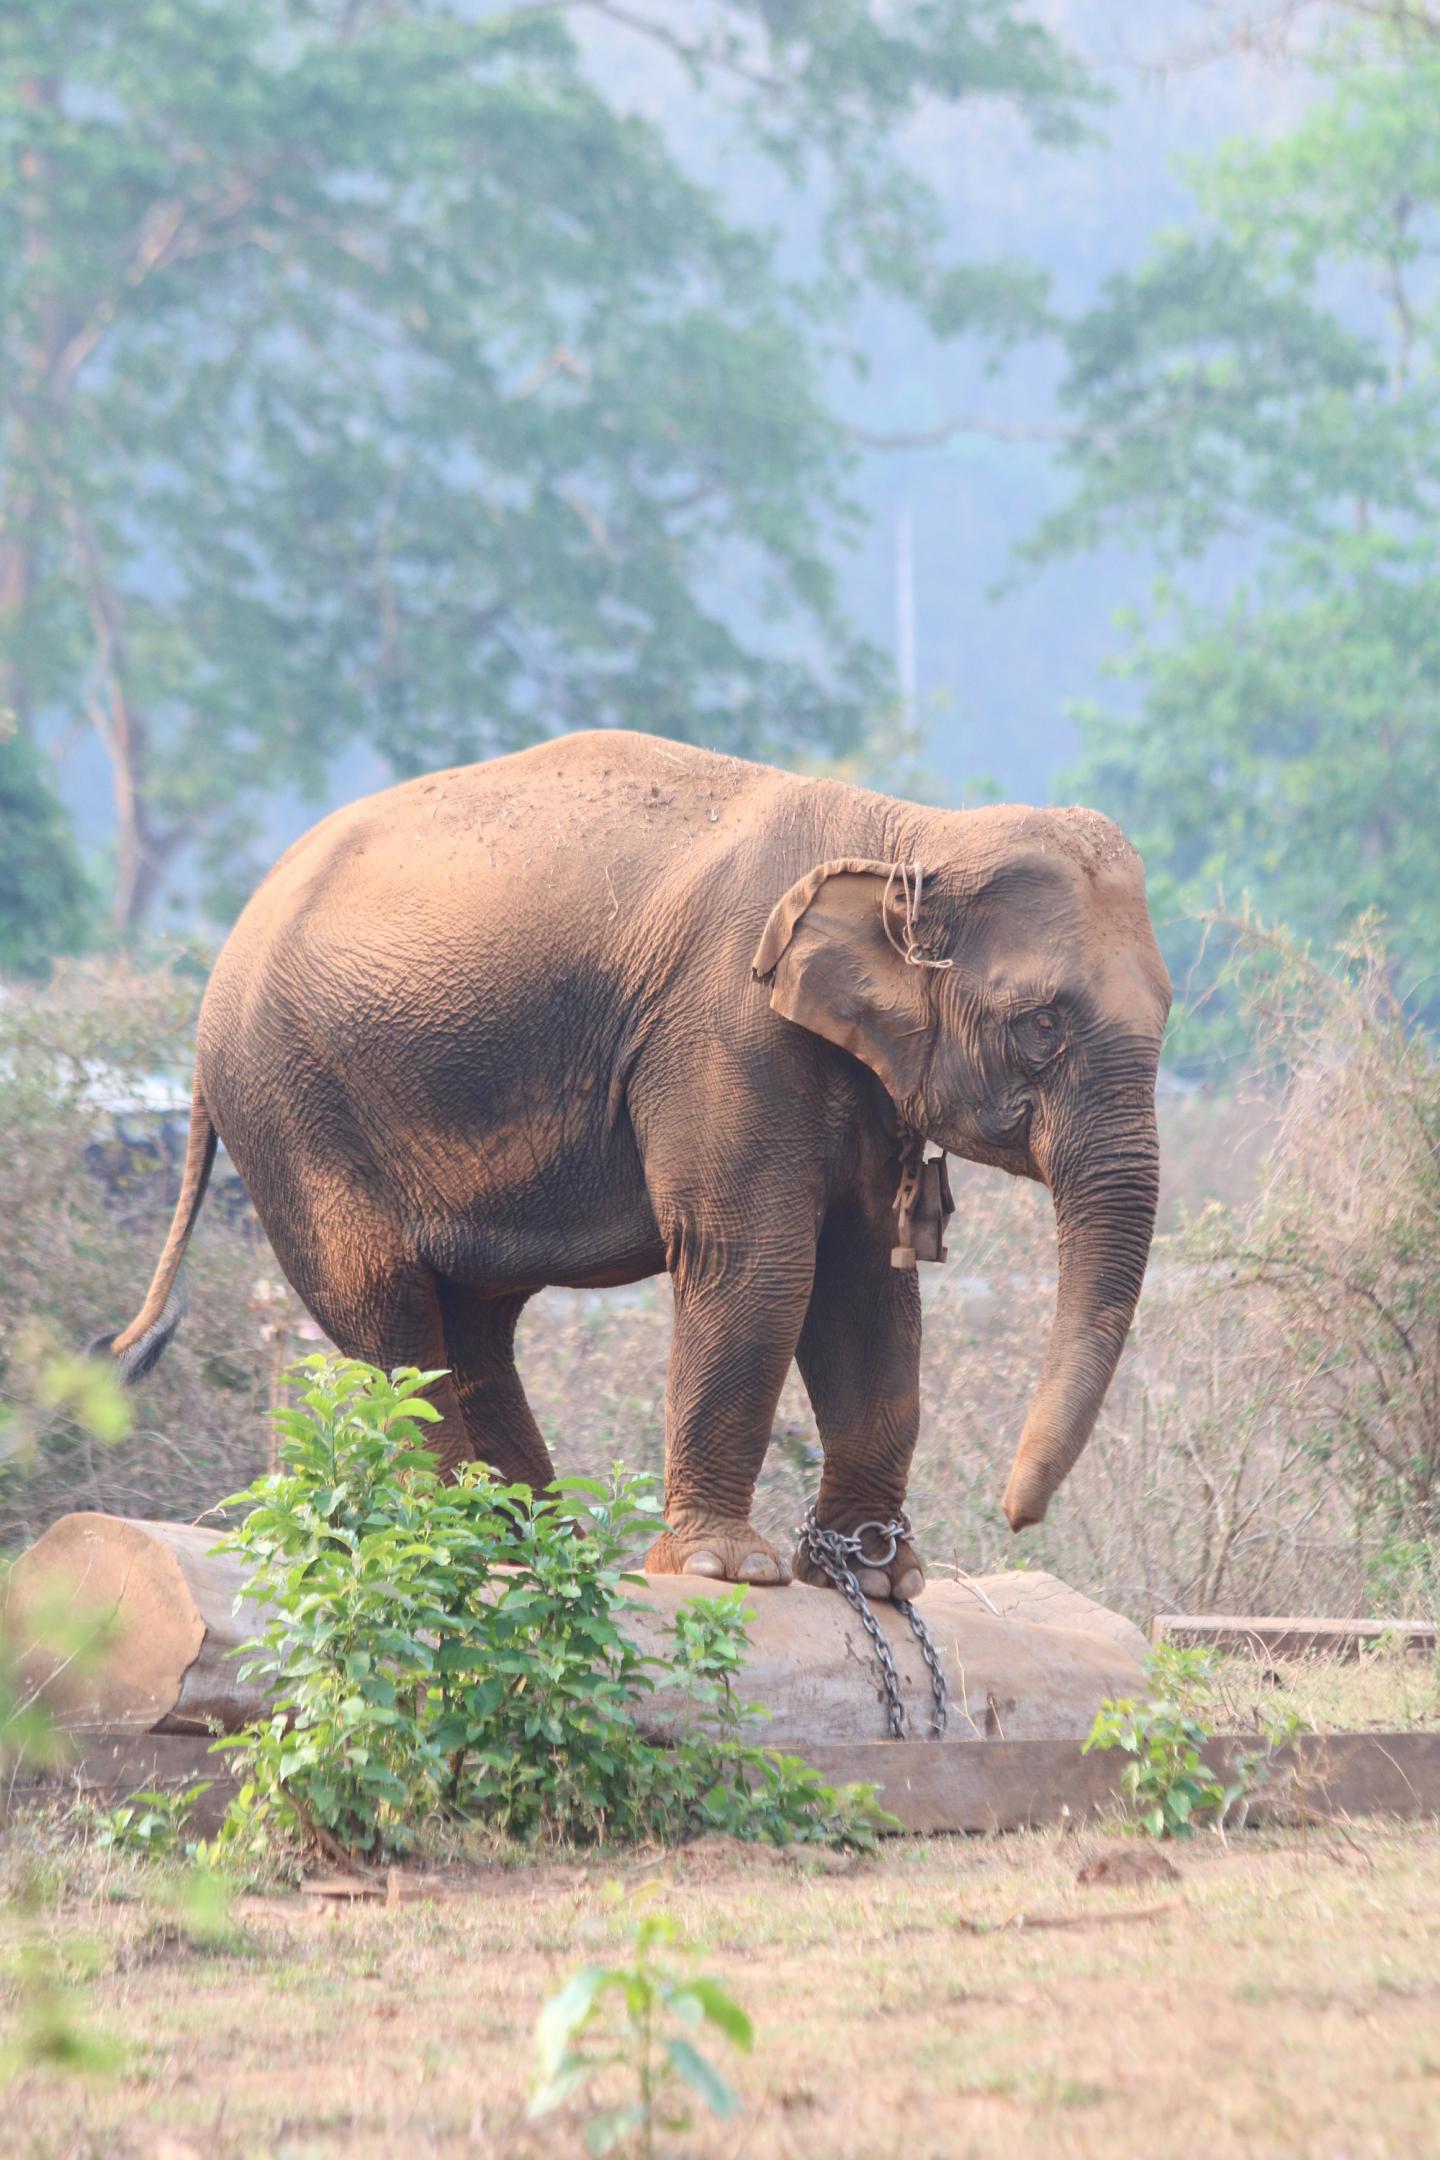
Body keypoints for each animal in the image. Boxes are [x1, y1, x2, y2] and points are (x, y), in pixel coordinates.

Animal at [101, 729, 1171, 1600]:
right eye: (1040, 1025)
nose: (1014, 1518)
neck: (907, 830)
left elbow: (867, 1284)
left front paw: (879, 1578)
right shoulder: (725, 1030)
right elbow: (762, 1262)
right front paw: (725, 1568)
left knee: (470, 1324)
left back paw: (533, 1547)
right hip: (292, 1104)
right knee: (389, 1305)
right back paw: (455, 1543)